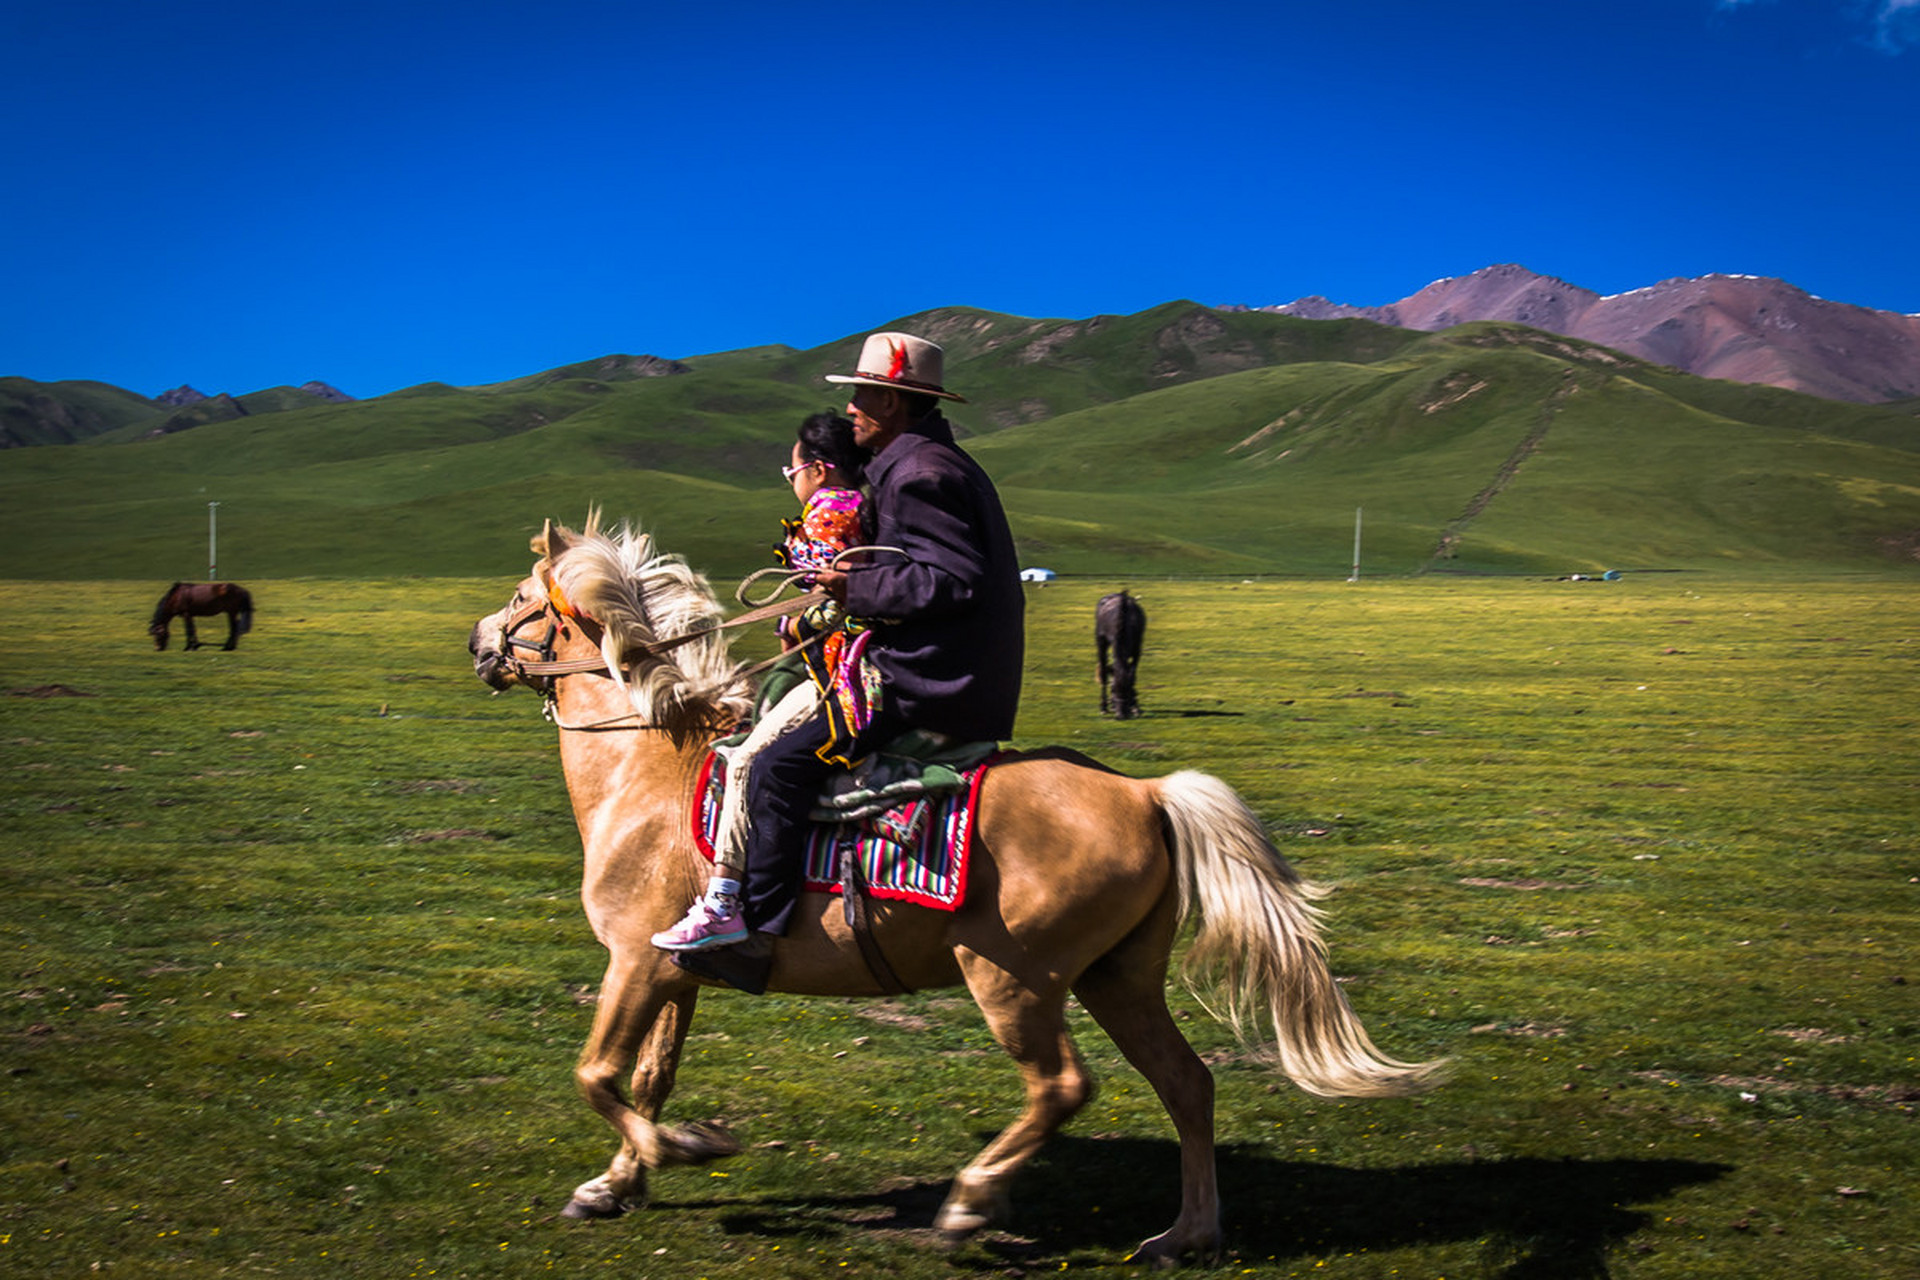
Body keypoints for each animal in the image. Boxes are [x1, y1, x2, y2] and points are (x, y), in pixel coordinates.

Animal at [1098, 591, 1136, 721]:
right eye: (1113, 689)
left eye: (1127, 690)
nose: (1121, 715)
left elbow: (1132, 676)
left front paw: (1135, 707)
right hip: (1101, 643)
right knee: (1104, 672)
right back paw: (1104, 707)